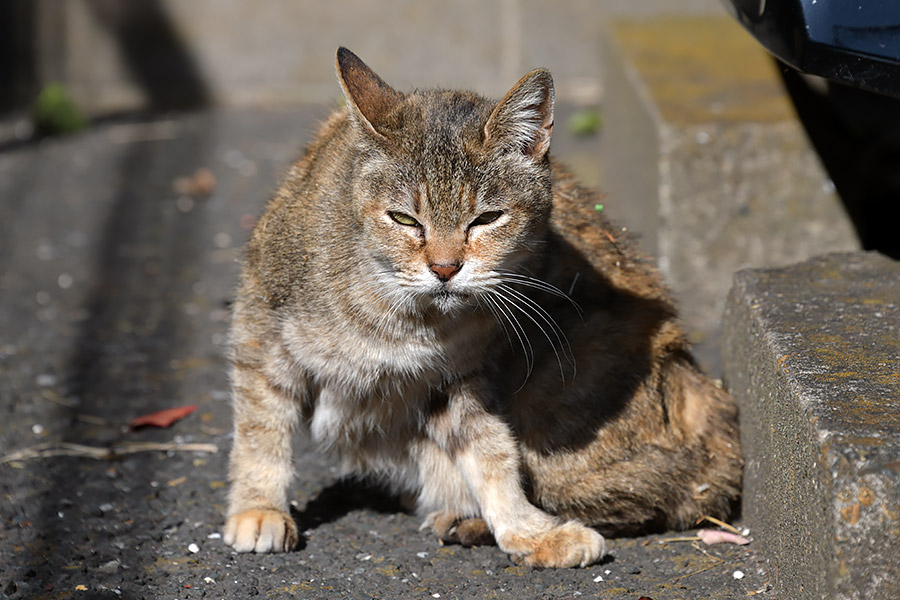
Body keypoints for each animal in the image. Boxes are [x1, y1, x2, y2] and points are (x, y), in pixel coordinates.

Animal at [221, 47, 740, 568]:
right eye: (405, 219)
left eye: (487, 218)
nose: (445, 267)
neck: (399, 315)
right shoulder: (260, 333)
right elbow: (260, 431)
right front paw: (258, 508)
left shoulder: (460, 379)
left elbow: (493, 453)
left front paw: (527, 530)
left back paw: (465, 519)